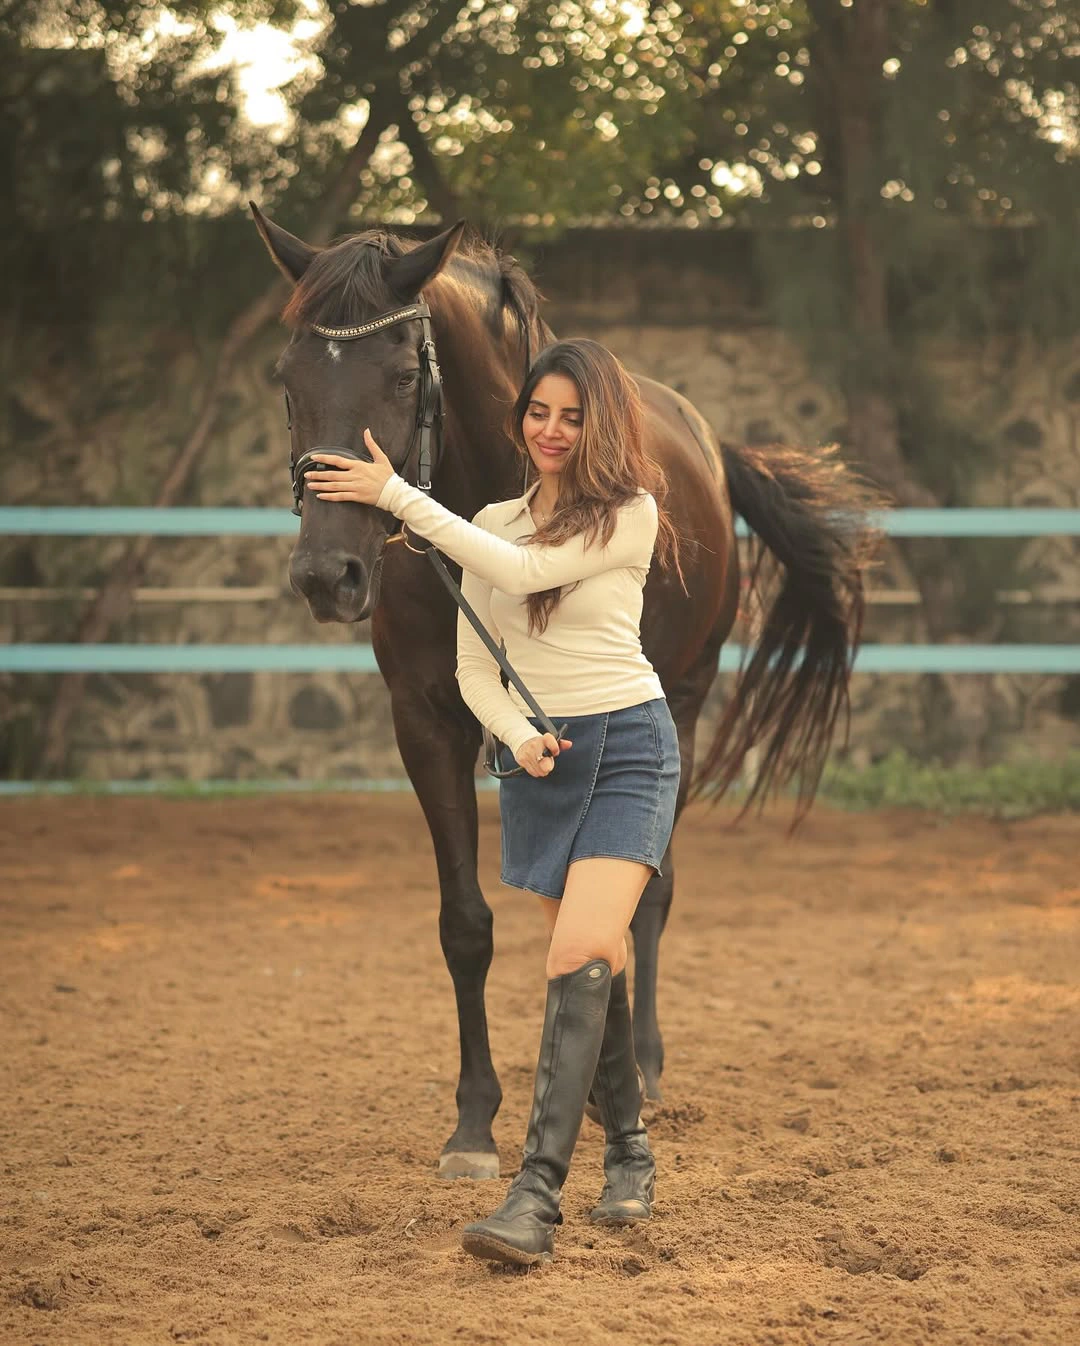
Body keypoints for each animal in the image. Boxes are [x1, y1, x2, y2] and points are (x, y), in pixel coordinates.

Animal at [250, 206, 881, 1180]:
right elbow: (466, 924)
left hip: (683, 706)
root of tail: (708, 444)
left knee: (648, 895)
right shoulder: (426, 725)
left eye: (403, 376)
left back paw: (645, 1072)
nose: (328, 576)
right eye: (288, 379)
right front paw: (474, 1124)